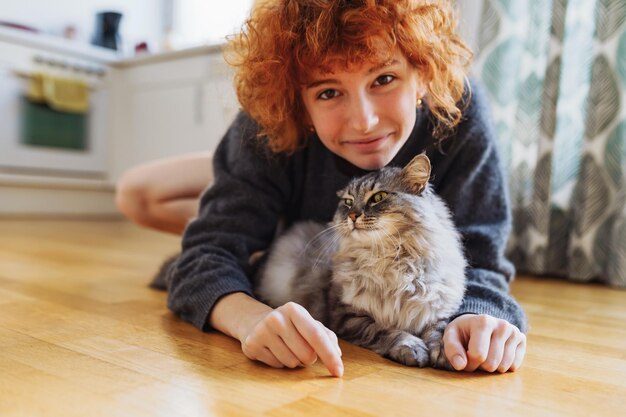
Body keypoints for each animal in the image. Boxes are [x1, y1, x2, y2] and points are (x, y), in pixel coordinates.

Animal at [254, 154, 464, 368]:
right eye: (348, 202)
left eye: (378, 197)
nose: (352, 215)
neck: (391, 261)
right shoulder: (348, 316)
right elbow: (386, 331)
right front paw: (413, 348)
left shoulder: (437, 309)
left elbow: (440, 330)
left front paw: (444, 352)